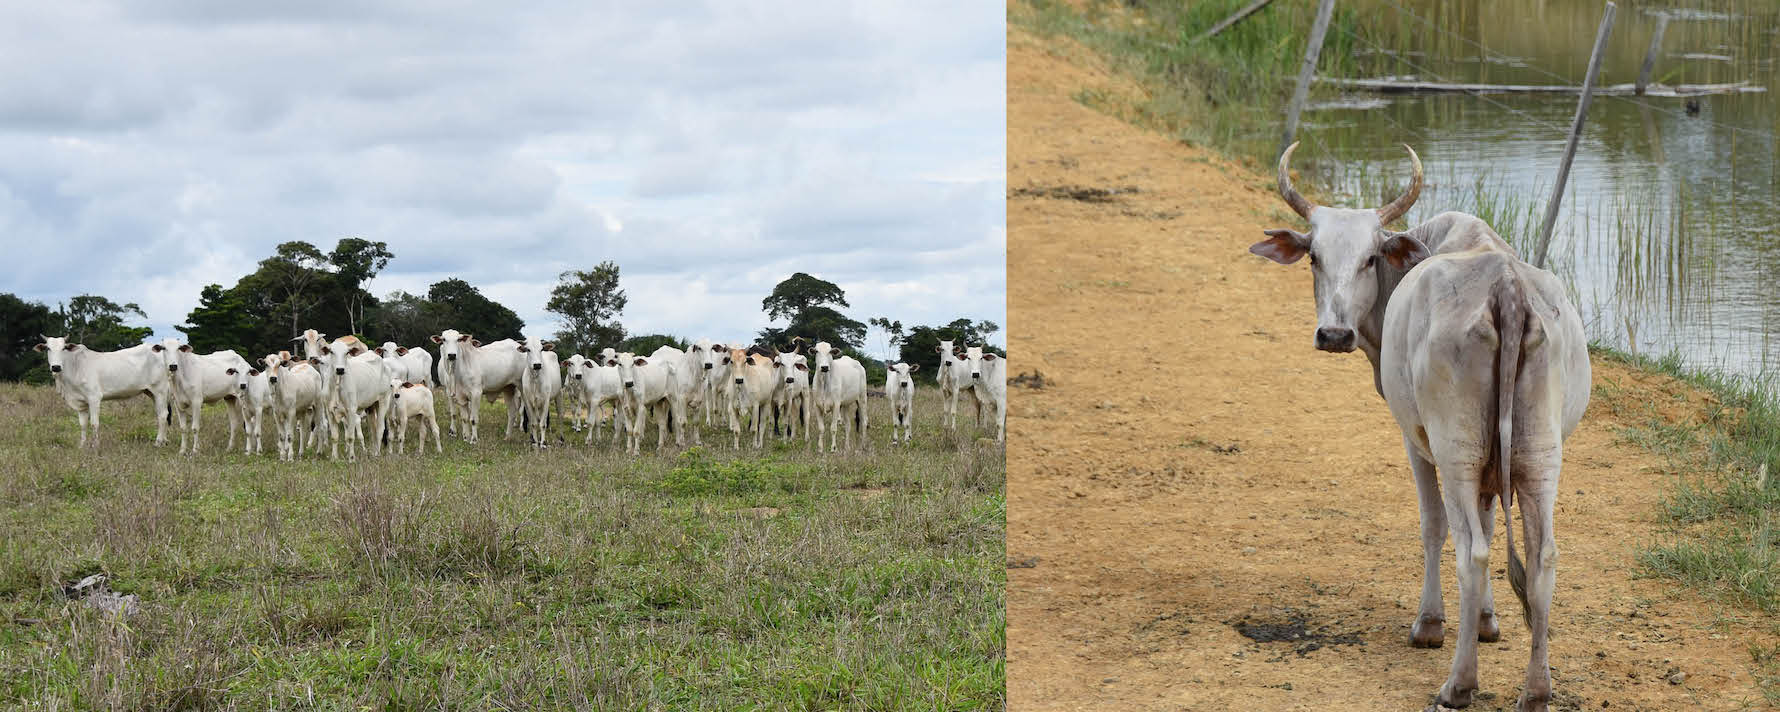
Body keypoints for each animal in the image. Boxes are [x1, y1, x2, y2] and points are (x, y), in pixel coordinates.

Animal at [34, 338, 173, 448]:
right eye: (48, 348)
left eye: (64, 348)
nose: (56, 367)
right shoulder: (81, 403)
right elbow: (83, 424)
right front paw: (82, 445)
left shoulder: (94, 398)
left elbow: (94, 423)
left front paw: (95, 445)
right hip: (151, 392)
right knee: (162, 414)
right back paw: (164, 441)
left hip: (160, 390)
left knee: (162, 415)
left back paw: (158, 443)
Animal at [1246, 141, 1594, 708]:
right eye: (1315, 258)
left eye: (1369, 258)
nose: (1334, 334)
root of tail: (1506, 285)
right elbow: (1492, 523)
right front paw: (1487, 622)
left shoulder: (1417, 442)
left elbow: (1433, 525)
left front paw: (1430, 624)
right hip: (1540, 456)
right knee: (1541, 559)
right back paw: (1536, 691)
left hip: (1454, 452)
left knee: (1471, 552)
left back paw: (1458, 684)